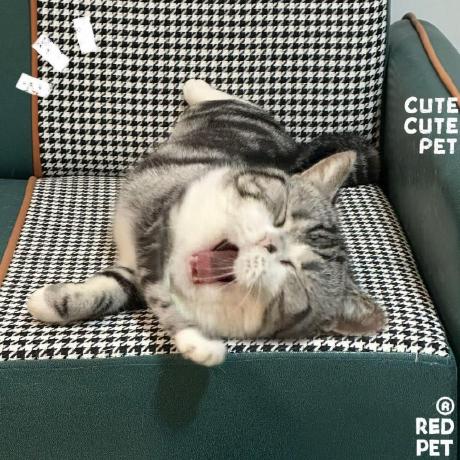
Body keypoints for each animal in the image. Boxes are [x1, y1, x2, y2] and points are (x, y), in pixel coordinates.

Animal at [27, 79, 386, 366]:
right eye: (281, 215)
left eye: (296, 272)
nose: (269, 244)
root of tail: (293, 151)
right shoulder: (157, 221)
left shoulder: (141, 269)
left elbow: (125, 289)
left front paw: (196, 341)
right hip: (237, 116)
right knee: (237, 102)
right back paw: (195, 85)